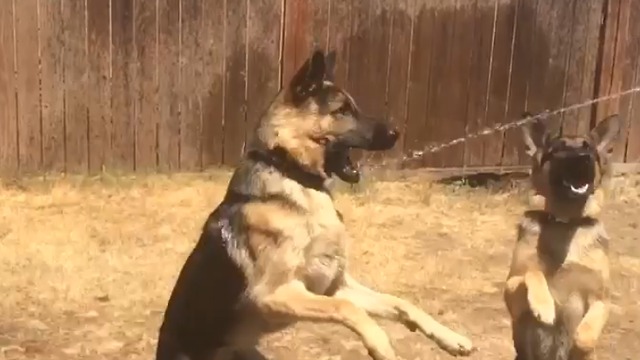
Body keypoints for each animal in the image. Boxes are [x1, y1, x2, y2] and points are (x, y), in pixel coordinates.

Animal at [155, 48, 476, 360]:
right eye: (341, 111)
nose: (395, 134)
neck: (293, 175)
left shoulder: (335, 286)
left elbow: (400, 303)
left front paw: (450, 338)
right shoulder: (276, 294)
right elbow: (347, 309)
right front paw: (380, 344)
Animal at [502, 113, 624, 360]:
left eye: (589, 149)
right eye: (558, 149)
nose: (584, 159)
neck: (566, 223)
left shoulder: (601, 298)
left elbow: (585, 336)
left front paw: (580, 344)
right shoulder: (512, 292)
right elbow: (533, 272)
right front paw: (544, 306)